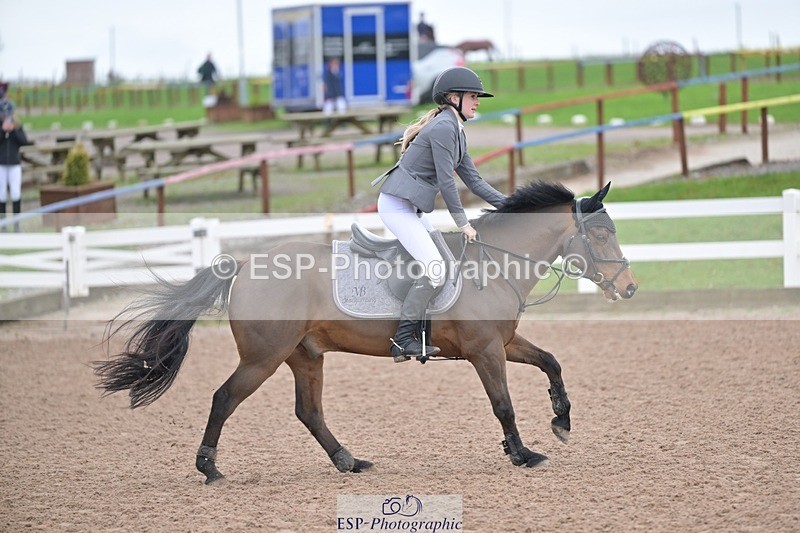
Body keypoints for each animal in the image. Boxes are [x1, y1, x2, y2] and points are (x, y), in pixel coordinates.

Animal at [94, 181, 637, 484]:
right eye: (602, 233)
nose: (629, 287)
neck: (496, 263)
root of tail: (245, 264)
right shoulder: (486, 351)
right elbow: (503, 404)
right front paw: (523, 454)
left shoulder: (503, 343)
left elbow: (551, 361)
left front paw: (561, 420)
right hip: (262, 358)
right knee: (224, 398)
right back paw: (208, 468)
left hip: (306, 355)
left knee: (309, 411)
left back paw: (348, 461)